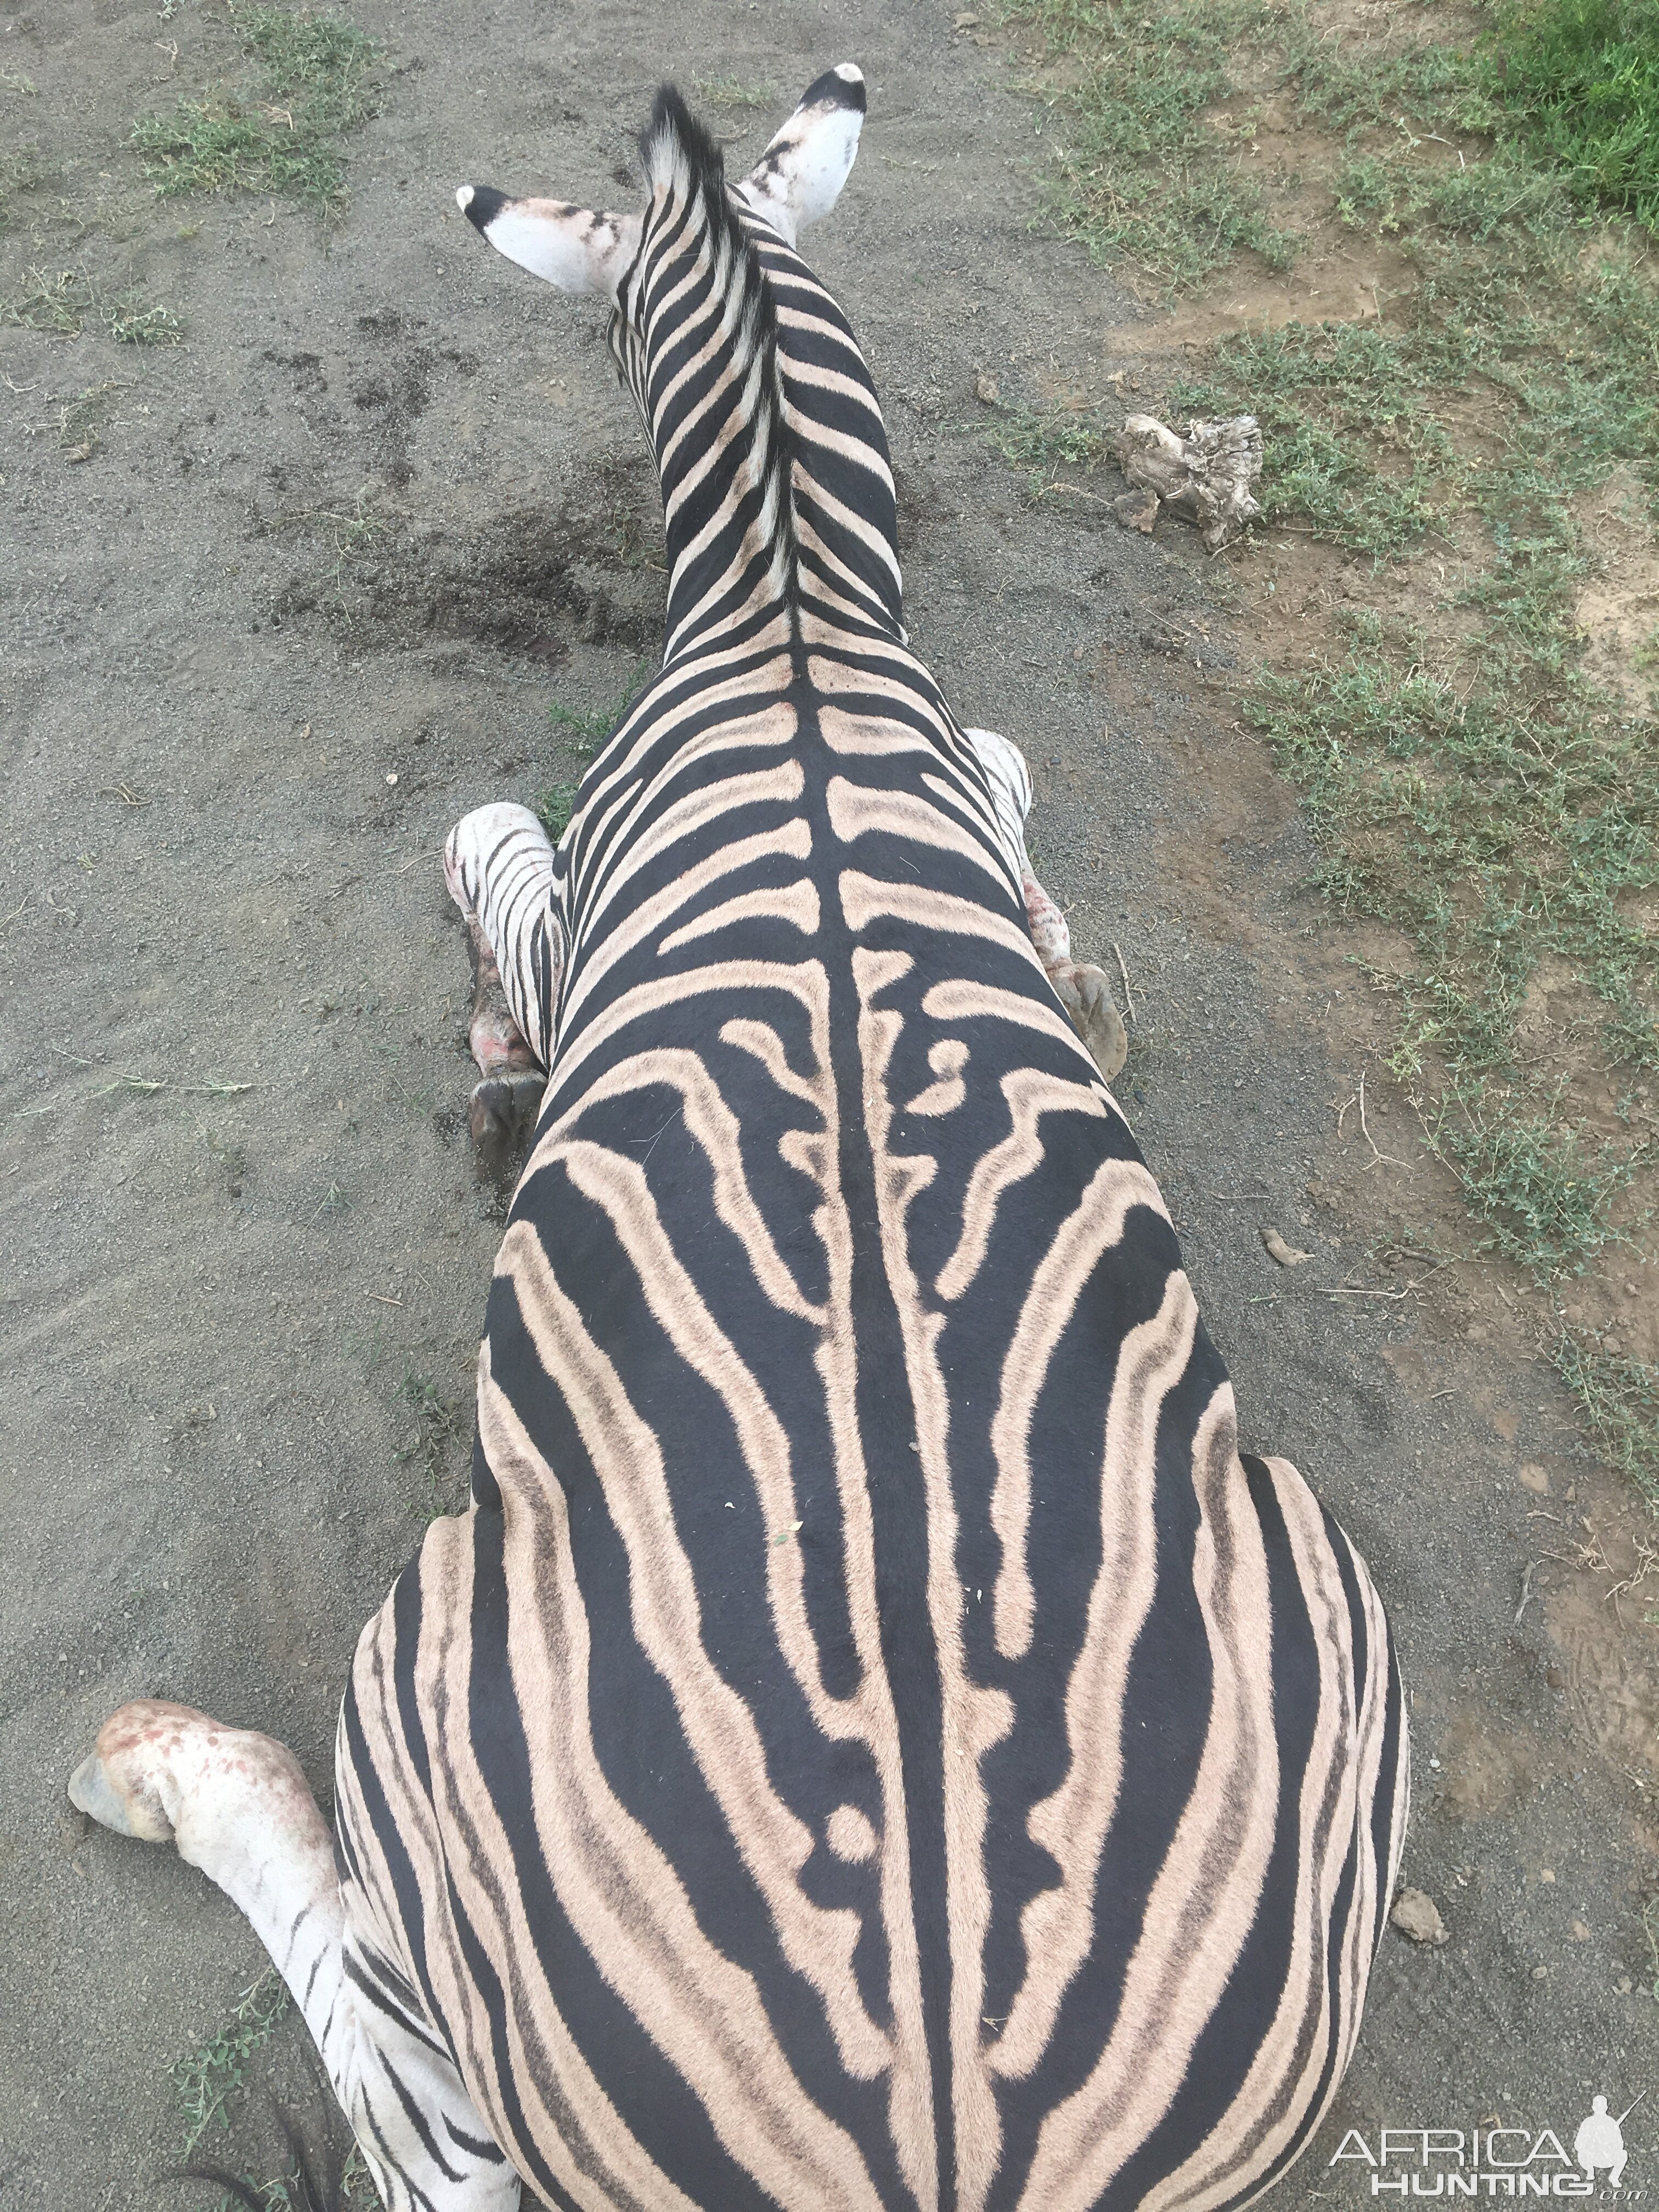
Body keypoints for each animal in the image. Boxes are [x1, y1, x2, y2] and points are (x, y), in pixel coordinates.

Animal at [71, 69, 1407, 2212]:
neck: (796, 623)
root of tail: (944, 2147)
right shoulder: (954, 765)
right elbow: (1012, 780)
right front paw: (1062, 943)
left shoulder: (580, 907)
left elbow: (494, 851)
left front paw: (488, 982)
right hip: (1331, 1622)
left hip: (424, 1693)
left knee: (408, 2098)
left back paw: (168, 1773)